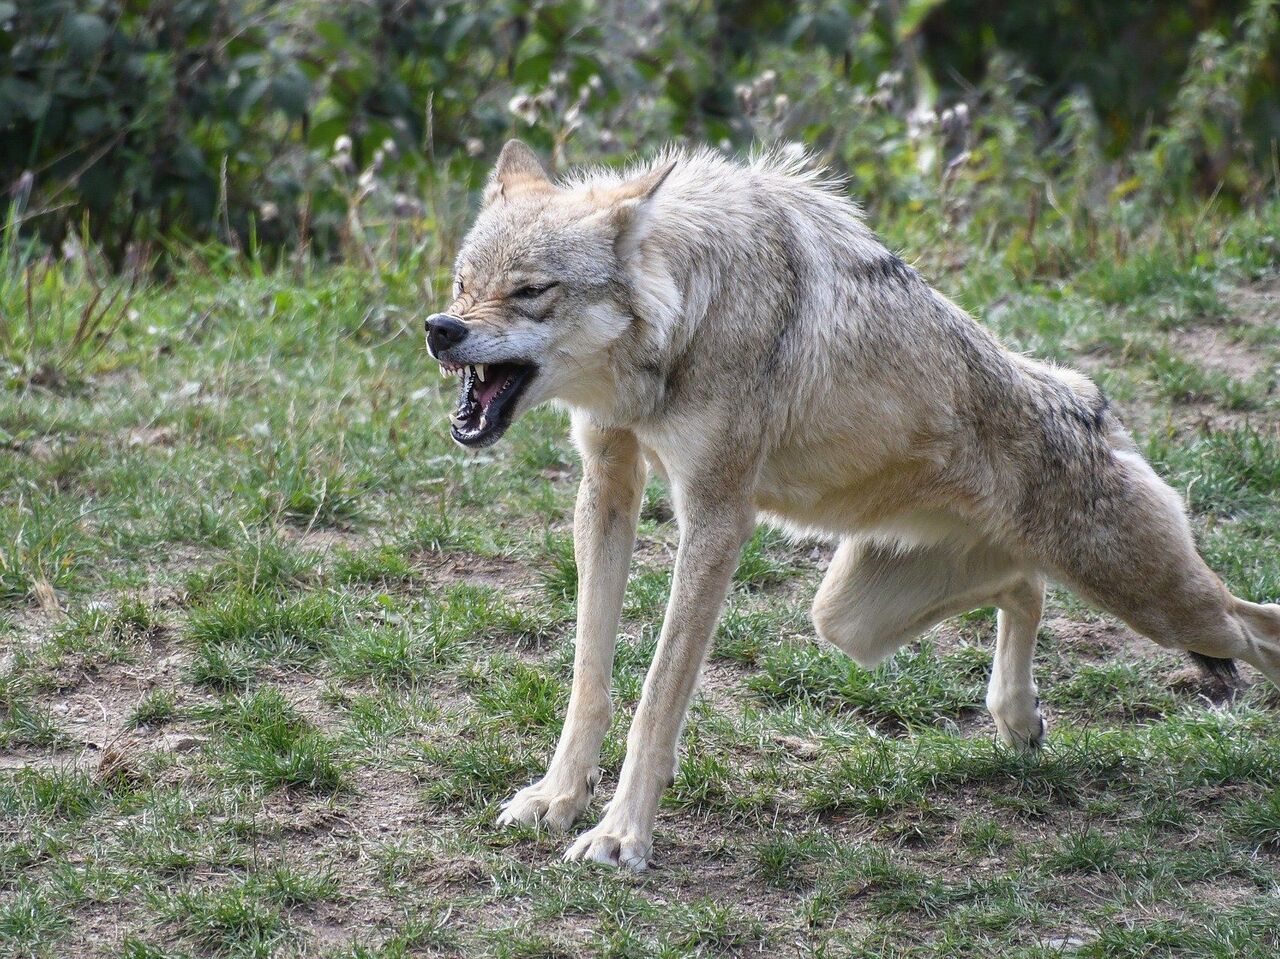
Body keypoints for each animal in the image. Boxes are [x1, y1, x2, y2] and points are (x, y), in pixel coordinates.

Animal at [427, 140, 1280, 865]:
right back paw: (1017, 716)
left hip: (1167, 606)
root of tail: (1092, 400)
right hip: (847, 619)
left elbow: (657, 698)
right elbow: (589, 679)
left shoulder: (717, 515)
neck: (688, 314)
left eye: (530, 291)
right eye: (463, 281)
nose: (441, 328)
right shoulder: (607, 485)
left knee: (1253, 624)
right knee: (1024, 586)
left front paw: (620, 836)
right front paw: (558, 798)